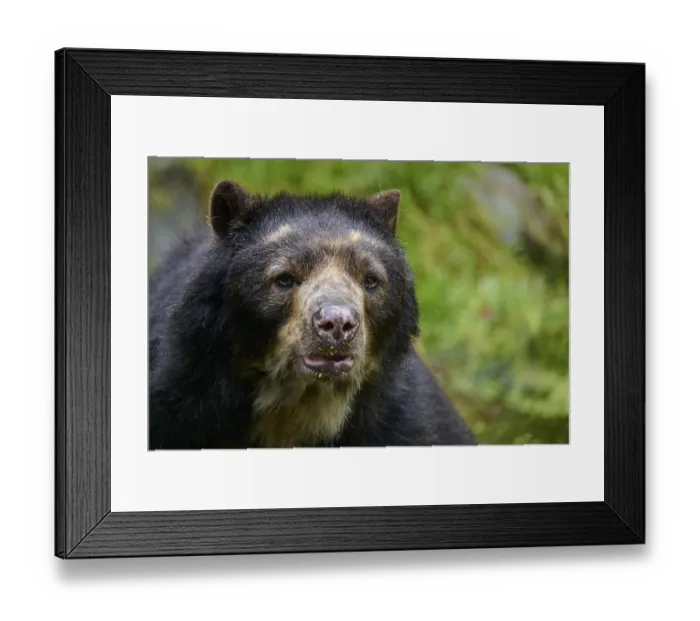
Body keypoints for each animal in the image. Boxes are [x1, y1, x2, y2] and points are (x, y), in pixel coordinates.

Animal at [148, 179, 478, 449]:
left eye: (371, 280)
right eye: (284, 279)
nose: (337, 324)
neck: (302, 405)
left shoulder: (402, 421)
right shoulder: (183, 401)